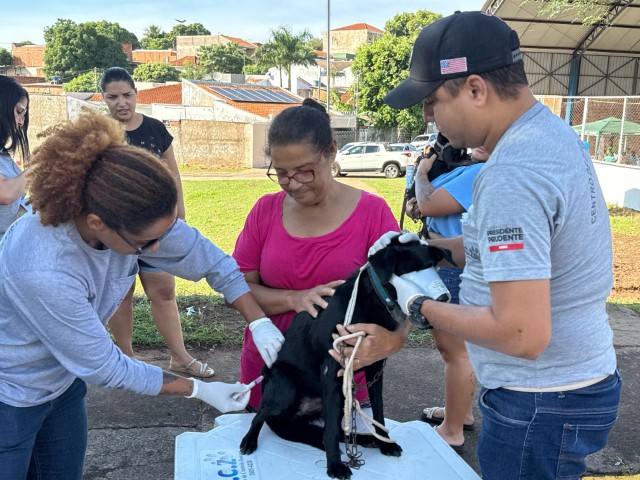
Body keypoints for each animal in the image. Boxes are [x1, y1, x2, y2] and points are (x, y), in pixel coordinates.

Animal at [240, 238, 456, 478]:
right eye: (413, 271)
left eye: (432, 267)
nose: (443, 299)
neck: (371, 302)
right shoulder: (333, 369)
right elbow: (332, 432)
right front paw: (334, 464)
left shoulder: (375, 369)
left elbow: (378, 412)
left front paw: (384, 442)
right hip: (286, 389)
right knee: (261, 414)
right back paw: (249, 440)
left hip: (340, 396)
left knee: (335, 428)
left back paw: (367, 440)